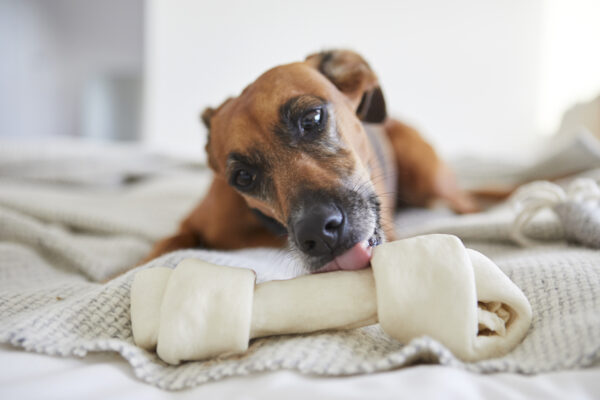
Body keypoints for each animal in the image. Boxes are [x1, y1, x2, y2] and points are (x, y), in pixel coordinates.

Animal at [143, 49, 476, 272]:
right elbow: (160, 249)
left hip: (427, 175)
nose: (318, 232)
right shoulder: (192, 224)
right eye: (243, 177)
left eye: (312, 118)